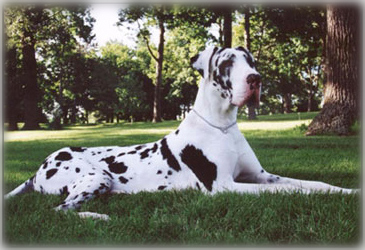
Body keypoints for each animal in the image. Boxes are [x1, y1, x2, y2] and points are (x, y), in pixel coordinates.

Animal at [4, 46, 356, 220]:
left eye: (251, 60)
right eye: (227, 62)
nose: (255, 79)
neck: (222, 126)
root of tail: (38, 169)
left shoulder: (261, 175)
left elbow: (312, 184)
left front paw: (347, 192)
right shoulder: (224, 187)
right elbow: (288, 191)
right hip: (95, 176)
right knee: (60, 211)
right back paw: (99, 217)